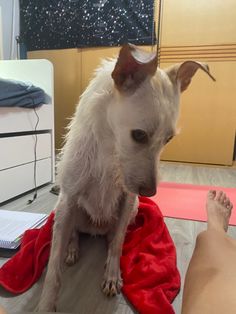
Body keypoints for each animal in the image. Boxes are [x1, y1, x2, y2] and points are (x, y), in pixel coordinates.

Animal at [37, 44, 216, 312]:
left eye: (168, 139)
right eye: (139, 135)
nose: (151, 193)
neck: (109, 148)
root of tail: (96, 228)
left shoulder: (127, 200)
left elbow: (119, 243)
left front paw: (112, 274)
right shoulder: (69, 198)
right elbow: (54, 265)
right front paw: (46, 303)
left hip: (131, 210)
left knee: (113, 238)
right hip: (65, 209)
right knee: (72, 233)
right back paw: (72, 248)